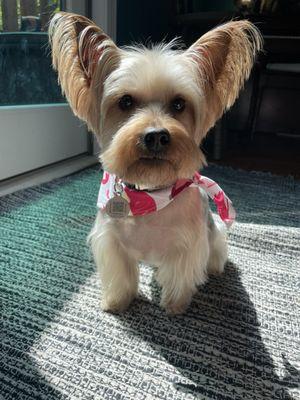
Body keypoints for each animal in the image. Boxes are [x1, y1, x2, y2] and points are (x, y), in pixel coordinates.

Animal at [48, 12, 260, 314]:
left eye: (179, 104)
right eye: (125, 101)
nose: (156, 136)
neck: (150, 191)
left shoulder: (187, 244)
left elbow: (180, 275)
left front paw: (175, 306)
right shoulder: (111, 241)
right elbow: (121, 275)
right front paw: (117, 303)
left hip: (215, 232)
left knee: (215, 252)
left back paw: (215, 269)